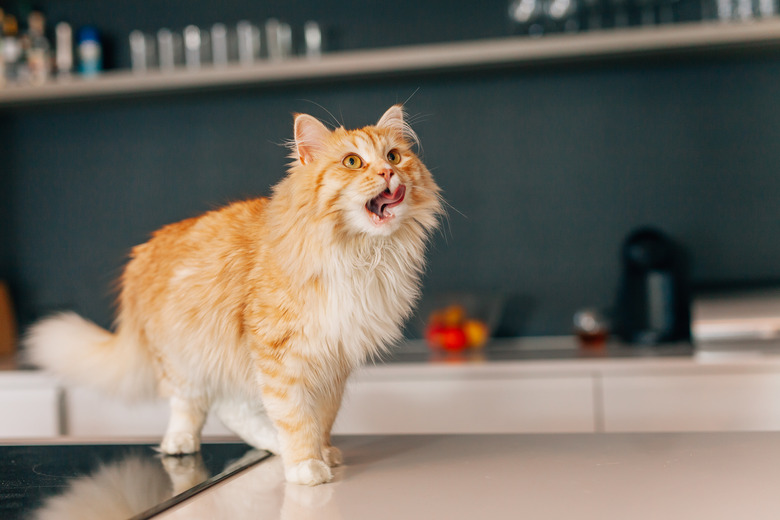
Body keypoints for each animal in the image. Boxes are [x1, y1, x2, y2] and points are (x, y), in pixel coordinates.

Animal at [27, 105, 442, 488]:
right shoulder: (281, 356)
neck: (361, 255)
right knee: (191, 407)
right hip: (185, 360)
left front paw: (322, 452)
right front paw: (306, 466)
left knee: (232, 409)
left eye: (394, 156)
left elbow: (321, 418)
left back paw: (272, 444)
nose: (387, 173)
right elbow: (296, 418)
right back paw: (182, 443)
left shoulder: (332, 361)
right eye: (352, 162)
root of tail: (143, 252)